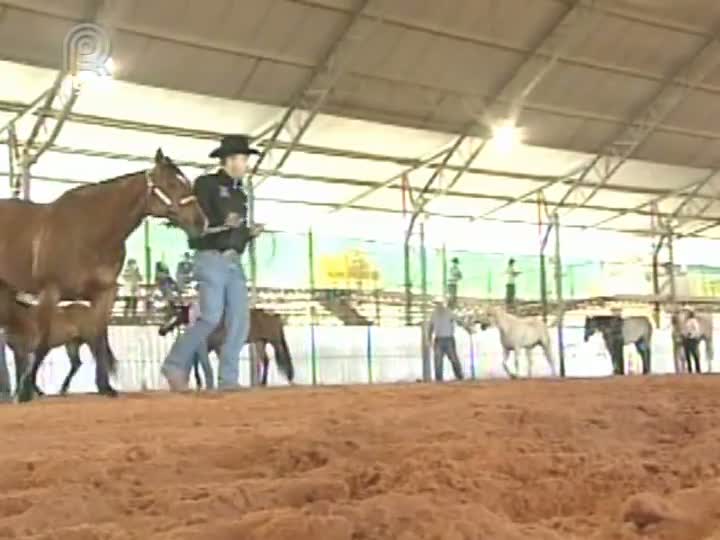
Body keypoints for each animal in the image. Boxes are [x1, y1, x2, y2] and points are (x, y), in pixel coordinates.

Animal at [0, 150, 205, 398]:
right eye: (172, 183)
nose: (201, 221)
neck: (90, 232)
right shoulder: (50, 291)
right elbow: (42, 341)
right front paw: (26, 390)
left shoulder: (105, 292)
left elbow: (98, 338)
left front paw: (105, 386)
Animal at [159, 306, 294, 386]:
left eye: (176, 315)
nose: (161, 331)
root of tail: (275, 317)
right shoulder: (212, 346)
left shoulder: (215, 346)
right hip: (260, 342)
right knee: (265, 360)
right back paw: (263, 382)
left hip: (275, 342)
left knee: (281, 358)